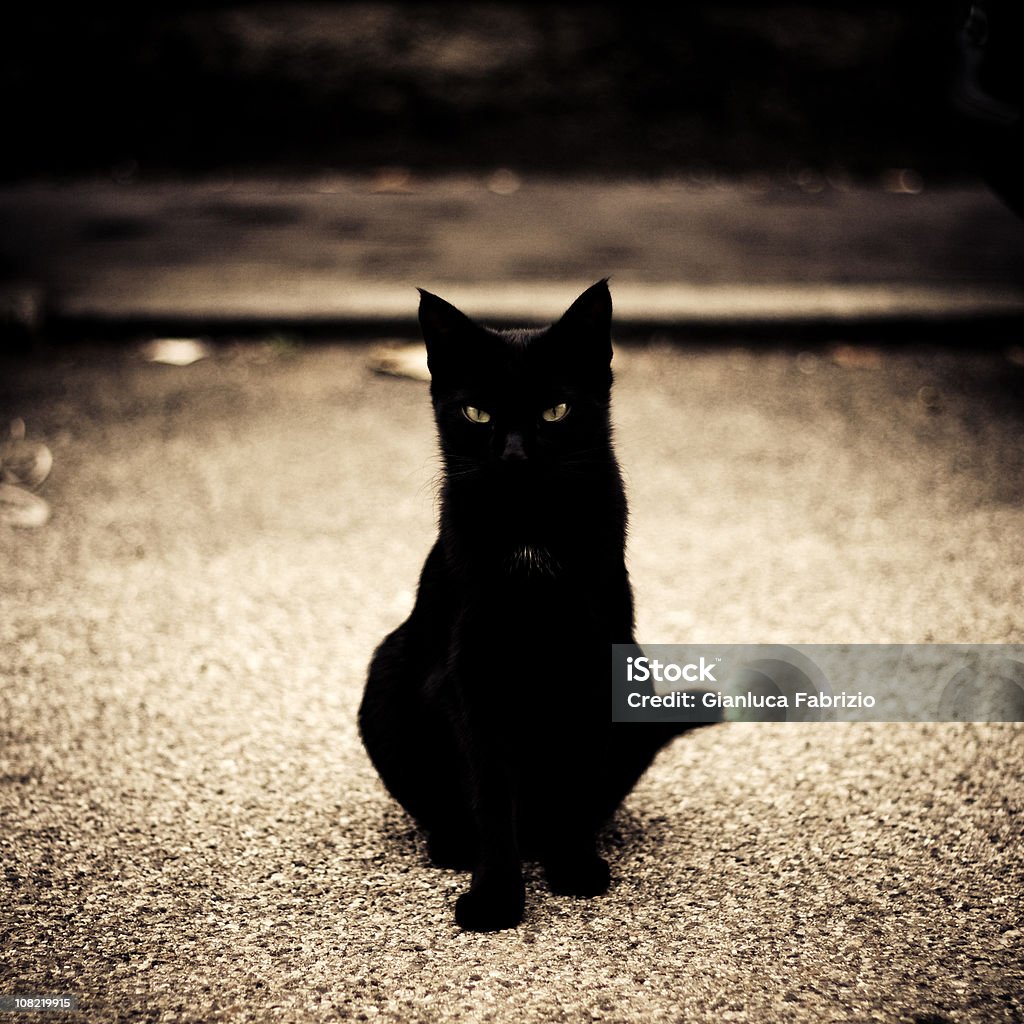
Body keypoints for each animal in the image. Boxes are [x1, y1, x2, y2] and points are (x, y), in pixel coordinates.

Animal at [360, 280, 704, 929]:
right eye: (477, 414)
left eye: (555, 412)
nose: (516, 455)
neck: (530, 535)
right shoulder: (472, 675)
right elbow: (492, 795)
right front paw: (496, 897)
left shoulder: (596, 666)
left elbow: (575, 776)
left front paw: (573, 868)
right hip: (387, 679)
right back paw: (454, 845)